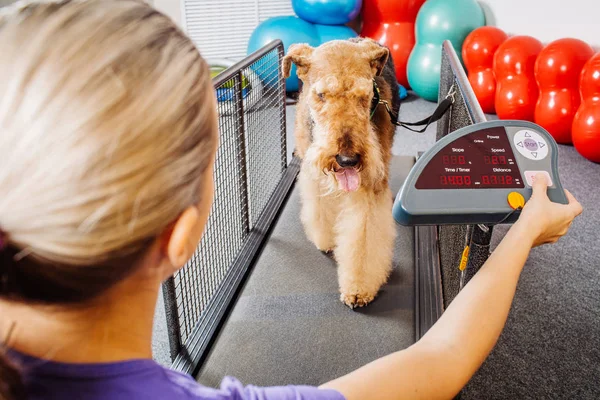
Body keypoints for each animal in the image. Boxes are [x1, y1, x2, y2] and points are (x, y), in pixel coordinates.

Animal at [282, 37, 404, 308]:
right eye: (321, 95)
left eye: (365, 96)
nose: (347, 160)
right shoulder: (314, 175)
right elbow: (320, 210)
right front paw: (325, 239)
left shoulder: (369, 186)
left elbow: (363, 238)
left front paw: (358, 289)